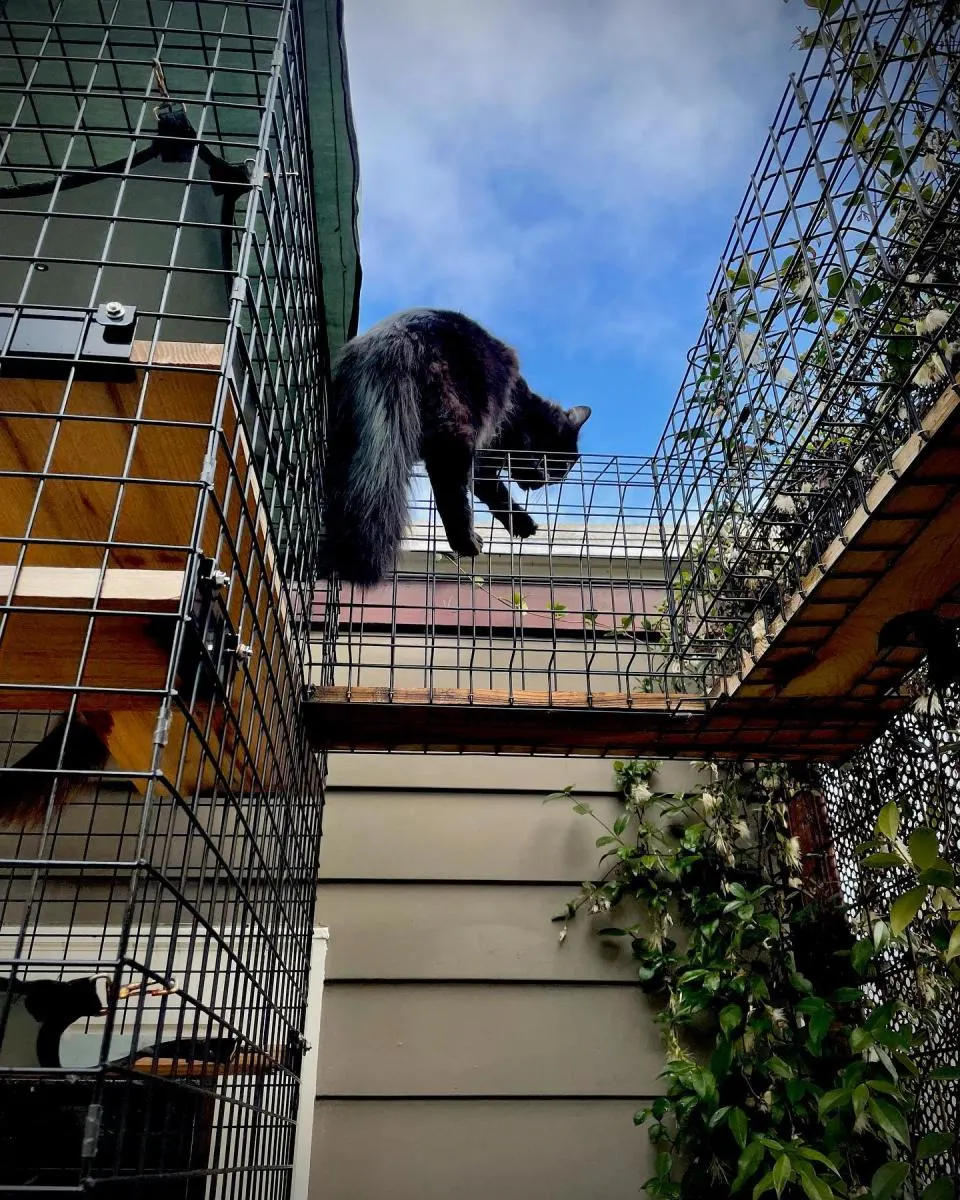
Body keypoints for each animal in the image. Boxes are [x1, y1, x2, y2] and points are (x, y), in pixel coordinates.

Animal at [321, 309, 592, 585]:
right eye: (559, 466)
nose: (546, 481)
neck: (523, 410)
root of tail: (401, 335)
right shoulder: (486, 454)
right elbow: (498, 493)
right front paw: (523, 523)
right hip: (455, 429)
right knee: (449, 489)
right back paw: (467, 542)